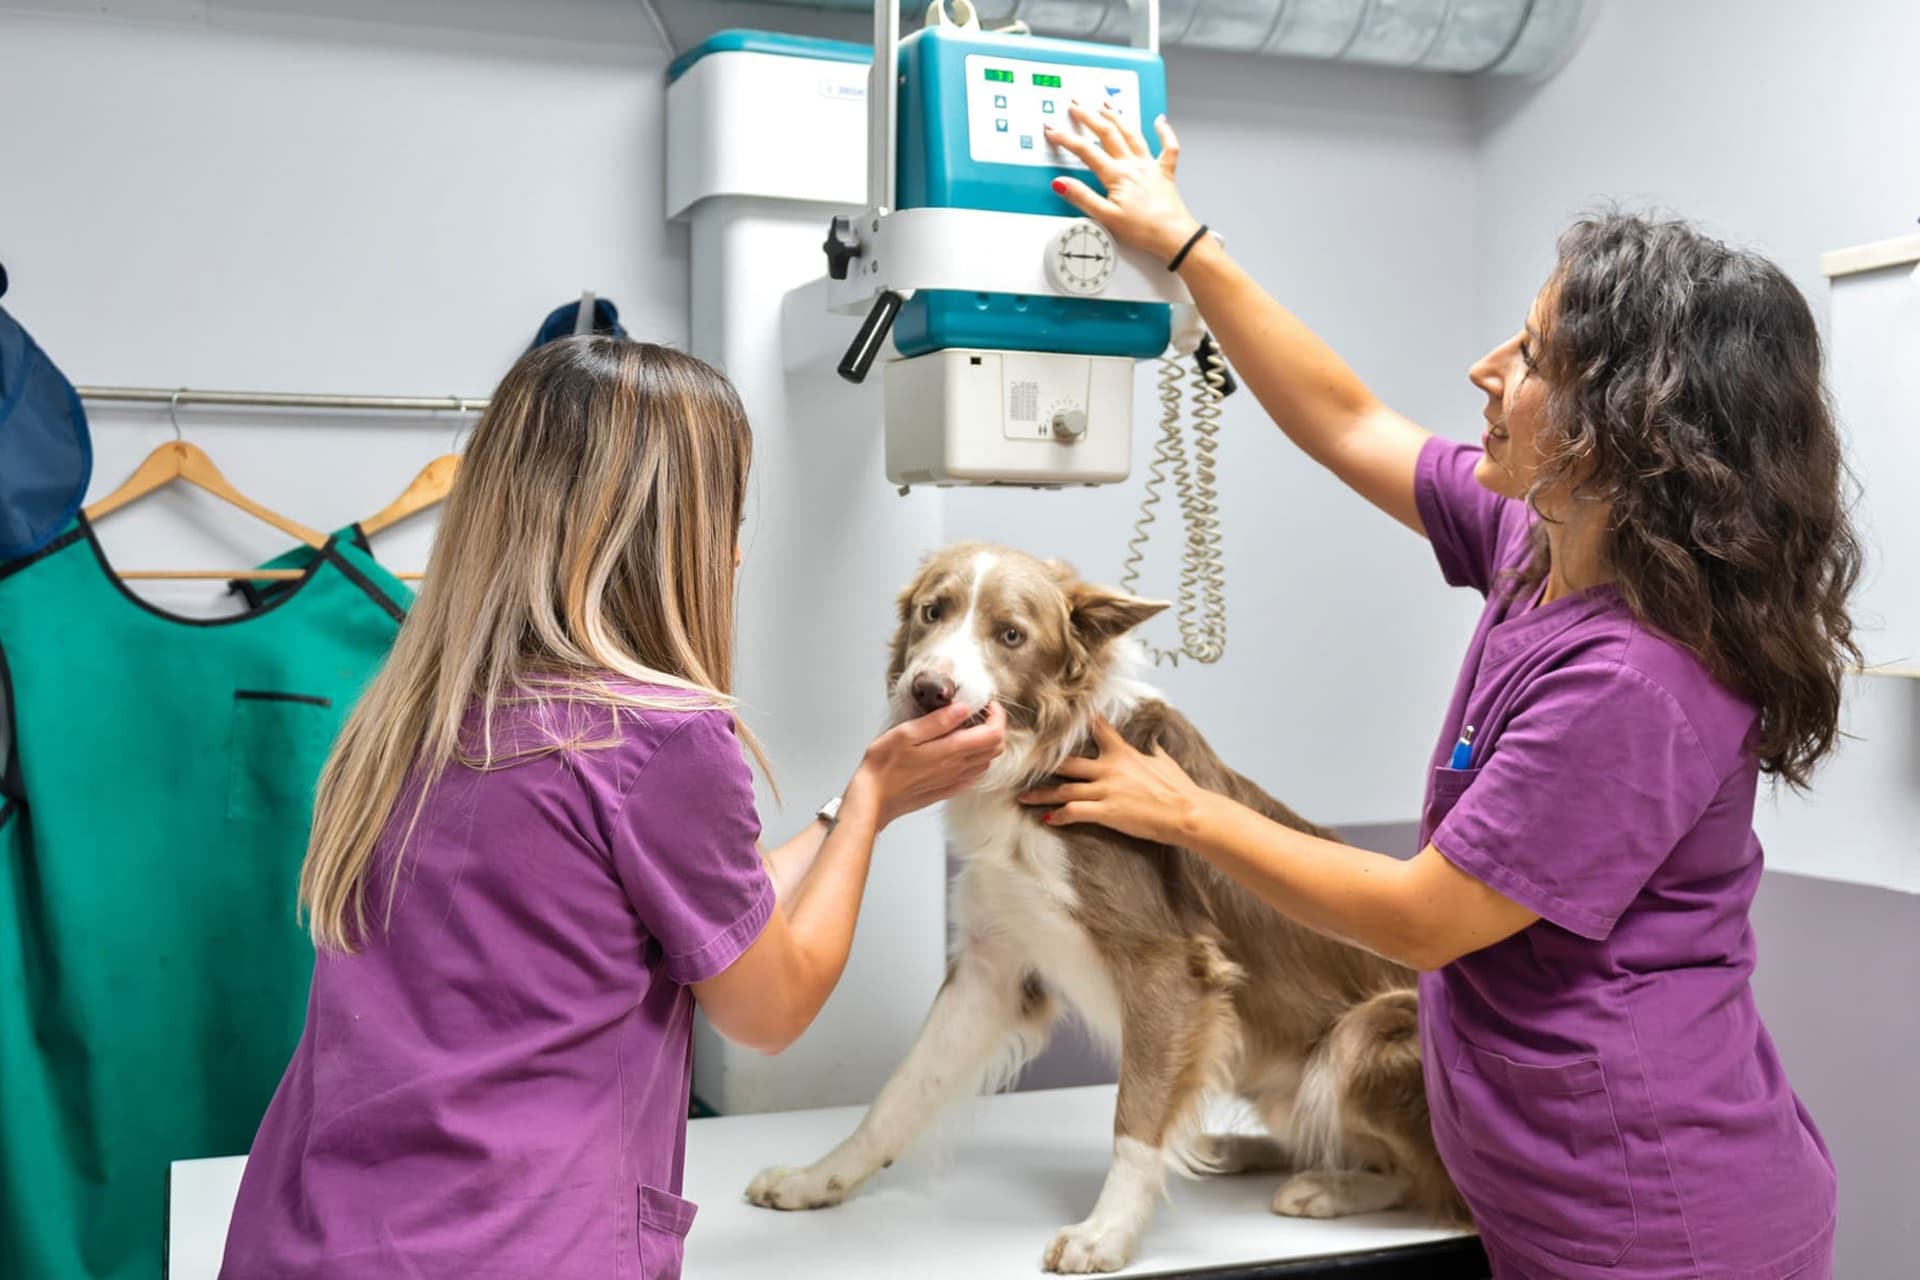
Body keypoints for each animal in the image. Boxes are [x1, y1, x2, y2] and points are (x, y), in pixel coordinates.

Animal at [741, 545, 1459, 1274]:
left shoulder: (1169, 969)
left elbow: (1135, 1120)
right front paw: (817, 1180)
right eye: (931, 612)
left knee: (1430, 1185)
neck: (1038, 762)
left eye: (1011, 634)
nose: (928, 691)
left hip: (1361, 1036)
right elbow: (899, 1093)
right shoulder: (991, 966)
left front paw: (1107, 1233)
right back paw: (1233, 1149)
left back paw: (1325, 1188)